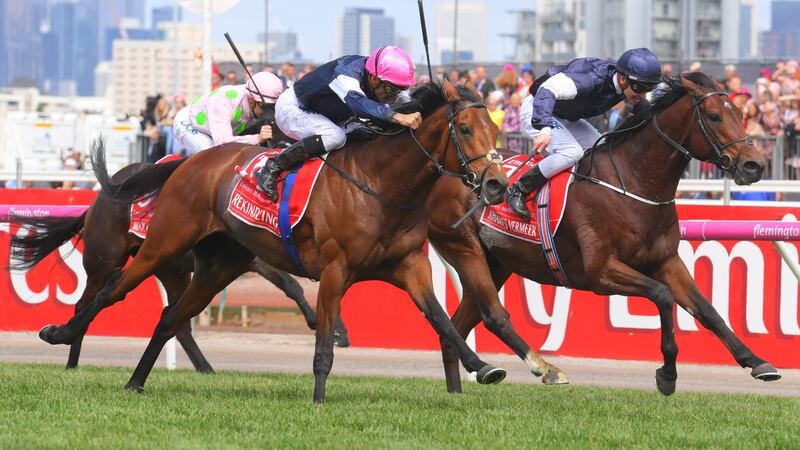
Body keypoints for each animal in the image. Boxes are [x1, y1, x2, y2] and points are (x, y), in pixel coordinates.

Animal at [10, 154, 351, 373]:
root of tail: (97, 200)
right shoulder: (253, 256)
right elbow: (291, 284)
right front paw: (326, 325)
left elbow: (292, 285)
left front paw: (335, 328)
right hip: (106, 259)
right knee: (86, 303)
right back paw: (71, 360)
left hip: (169, 267)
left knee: (179, 322)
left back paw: (206, 368)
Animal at [427, 73, 780, 396]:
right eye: (714, 116)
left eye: (739, 112)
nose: (754, 165)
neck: (635, 184)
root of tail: (443, 175)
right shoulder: (601, 272)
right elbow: (663, 296)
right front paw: (667, 375)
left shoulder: (666, 262)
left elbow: (708, 311)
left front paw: (757, 362)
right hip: (466, 250)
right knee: (492, 315)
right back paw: (545, 369)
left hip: (496, 263)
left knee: (456, 329)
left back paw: (458, 391)